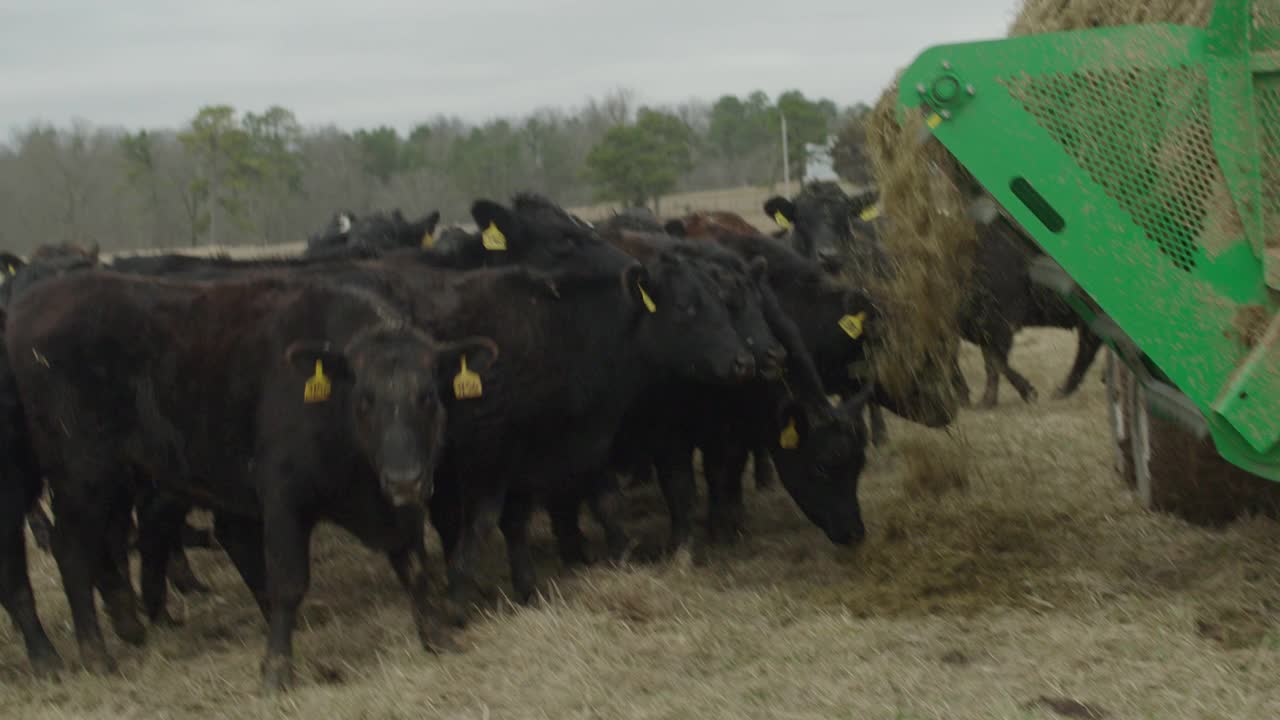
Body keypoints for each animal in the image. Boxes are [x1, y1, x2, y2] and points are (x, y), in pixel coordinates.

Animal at [3, 266, 494, 686]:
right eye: (365, 399)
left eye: (428, 396)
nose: (404, 478)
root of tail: (30, 304)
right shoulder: (283, 499)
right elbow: (288, 582)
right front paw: (276, 667)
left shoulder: (399, 508)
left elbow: (414, 565)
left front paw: (437, 635)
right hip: (81, 476)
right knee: (71, 550)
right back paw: (89, 653)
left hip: (114, 480)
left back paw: (127, 626)